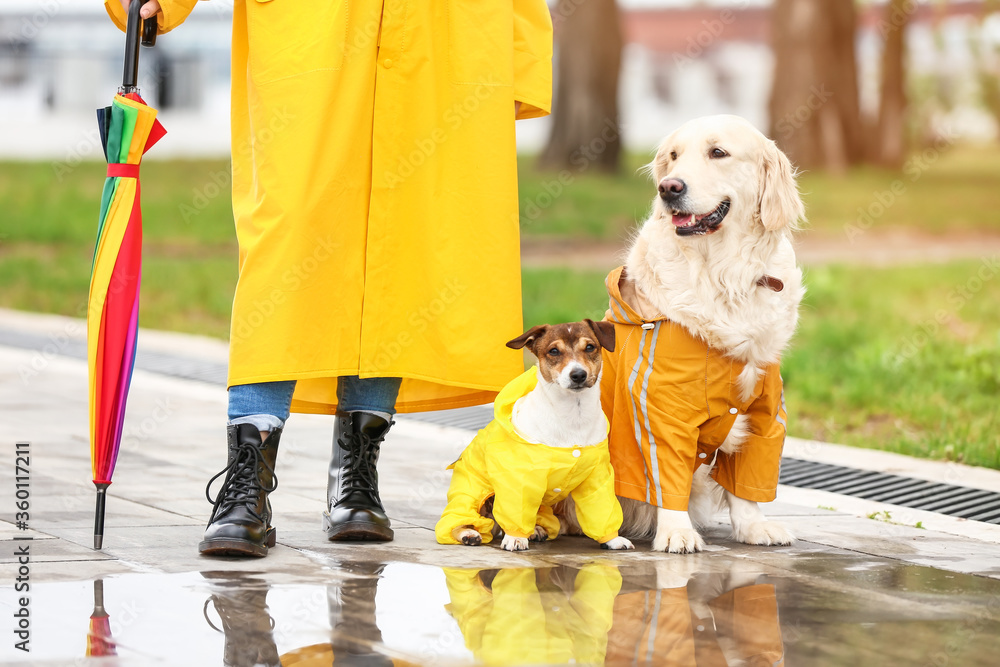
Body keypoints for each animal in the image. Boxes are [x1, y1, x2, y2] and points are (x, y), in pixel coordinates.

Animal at [436, 320, 632, 552]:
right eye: (554, 351)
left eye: (590, 347)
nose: (578, 374)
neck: (573, 416)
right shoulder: (519, 478)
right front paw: (515, 537)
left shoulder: (596, 478)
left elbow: (601, 509)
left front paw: (613, 539)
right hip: (473, 493)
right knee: (460, 520)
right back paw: (469, 533)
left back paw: (536, 529)